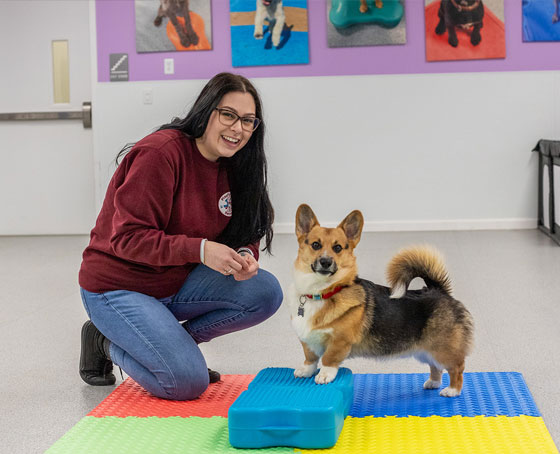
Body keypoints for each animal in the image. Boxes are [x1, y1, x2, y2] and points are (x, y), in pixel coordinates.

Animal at [288, 204, 472, 396]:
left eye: (337, 248)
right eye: (315, 245)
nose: (325, 262)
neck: (320, 292)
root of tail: (439, 289)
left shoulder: (339, 342)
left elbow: (328, 360)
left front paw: (324, 376)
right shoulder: (307, 341)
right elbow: (310, 357)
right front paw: (306, 371)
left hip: (443, 349)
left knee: (457, 368)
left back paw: (452, 390)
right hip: (425, 350)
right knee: (436, 367)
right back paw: (433, 383)